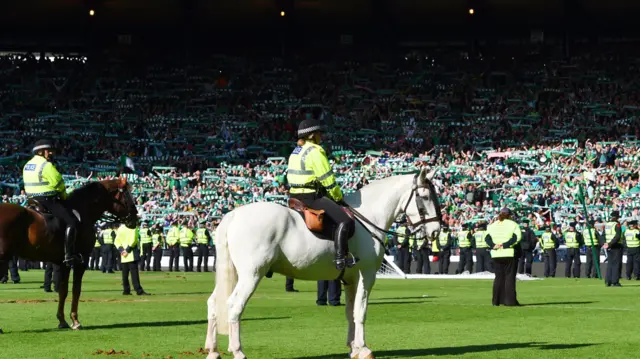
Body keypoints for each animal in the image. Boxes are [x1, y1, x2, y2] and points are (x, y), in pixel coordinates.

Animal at [0, 178, 139, 334]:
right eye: (128, 195)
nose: (135, 217)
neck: (82, 211)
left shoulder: (63, 263)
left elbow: (63, 290)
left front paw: (62, 321)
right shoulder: (81, 262)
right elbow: (76, 290)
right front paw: (75, 321)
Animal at [204, 169, 440, 359]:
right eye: (425, 196)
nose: (436, 231)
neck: (368, 218)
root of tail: (234, 214)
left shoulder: (351, 279)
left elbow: (350, 312)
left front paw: (353, 348)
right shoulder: (367, 275)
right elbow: (361, 311)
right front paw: (364, 349)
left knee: (214, 303)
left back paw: (213, 350)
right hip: (252, 275)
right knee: (234, 305)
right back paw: (237, 351)